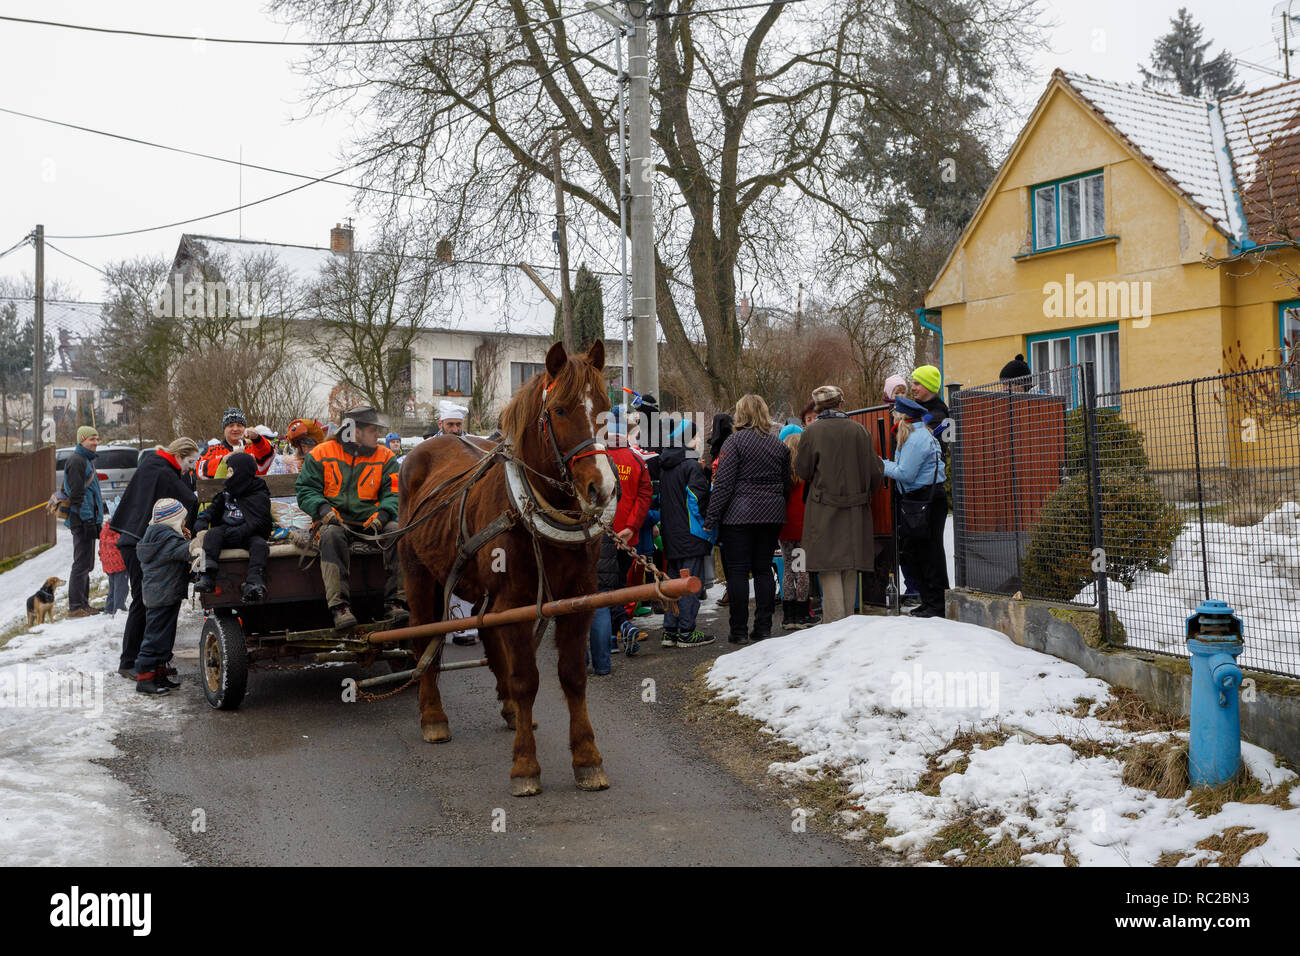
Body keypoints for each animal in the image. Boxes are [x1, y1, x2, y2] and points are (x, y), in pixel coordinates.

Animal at [395, 340, 618, 796]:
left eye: (605, 408)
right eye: (561, 410)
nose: (601, 489)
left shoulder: (577, 602)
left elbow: (572, 676)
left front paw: (587, 757)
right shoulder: (514, 603)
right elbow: (527, 679)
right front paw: (525, 765)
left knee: (484, 630)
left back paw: (511, 710)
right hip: (419, 575)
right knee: (425, 637)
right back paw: (433, 716)